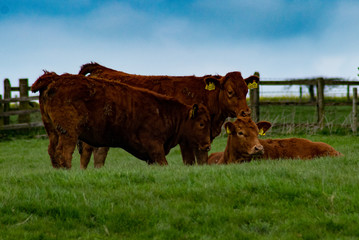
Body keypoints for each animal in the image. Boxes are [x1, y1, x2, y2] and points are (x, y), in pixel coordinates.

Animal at [31, 72, 211, 168]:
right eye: (201, 123)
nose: (207, 145)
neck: (165, 112)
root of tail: (56, 78)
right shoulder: (155, 148)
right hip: (68, 133)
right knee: (64, 152)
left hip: (52, 131)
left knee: (53, 151)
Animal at [77, 62, 260, 167]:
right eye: (230, 92)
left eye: (246, 90)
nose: (245, 112)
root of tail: (100, 69)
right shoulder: (186, 139)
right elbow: (189, 161)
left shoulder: (203, 138)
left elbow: (202, 160)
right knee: (86, 153)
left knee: (99, 154)